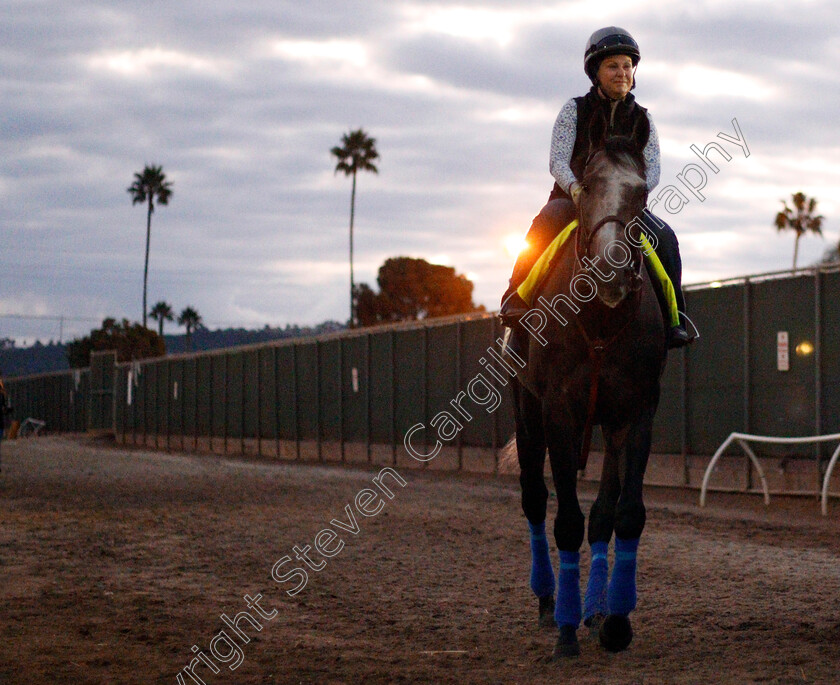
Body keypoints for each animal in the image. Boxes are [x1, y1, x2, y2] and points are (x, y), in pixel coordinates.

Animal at [508, 116, 668, 656]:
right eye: (591, 185)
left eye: (640, 192)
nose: (613, 269)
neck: (598, 317)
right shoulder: (559, 412)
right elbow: (567, 520)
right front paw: (565, 629)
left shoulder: (634, 414)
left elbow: (623, 513)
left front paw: (616, 621)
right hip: (526, 410)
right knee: (535, 499)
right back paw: (547, 602)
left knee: (601, 513)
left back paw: (596, 611)